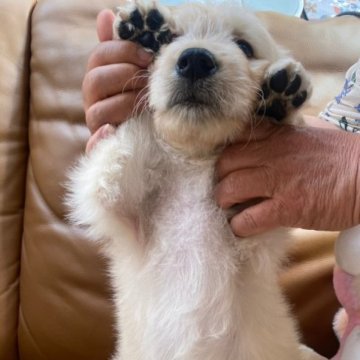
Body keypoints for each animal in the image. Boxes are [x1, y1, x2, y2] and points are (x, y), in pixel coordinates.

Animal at [67, 2, 324, 360]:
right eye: (173, 38)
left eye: (244, 47)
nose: (196, 59)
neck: (194, 161)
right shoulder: (118, 194)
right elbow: (134, 133)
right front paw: (144, 30)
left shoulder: (252, 218)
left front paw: (279, 99)